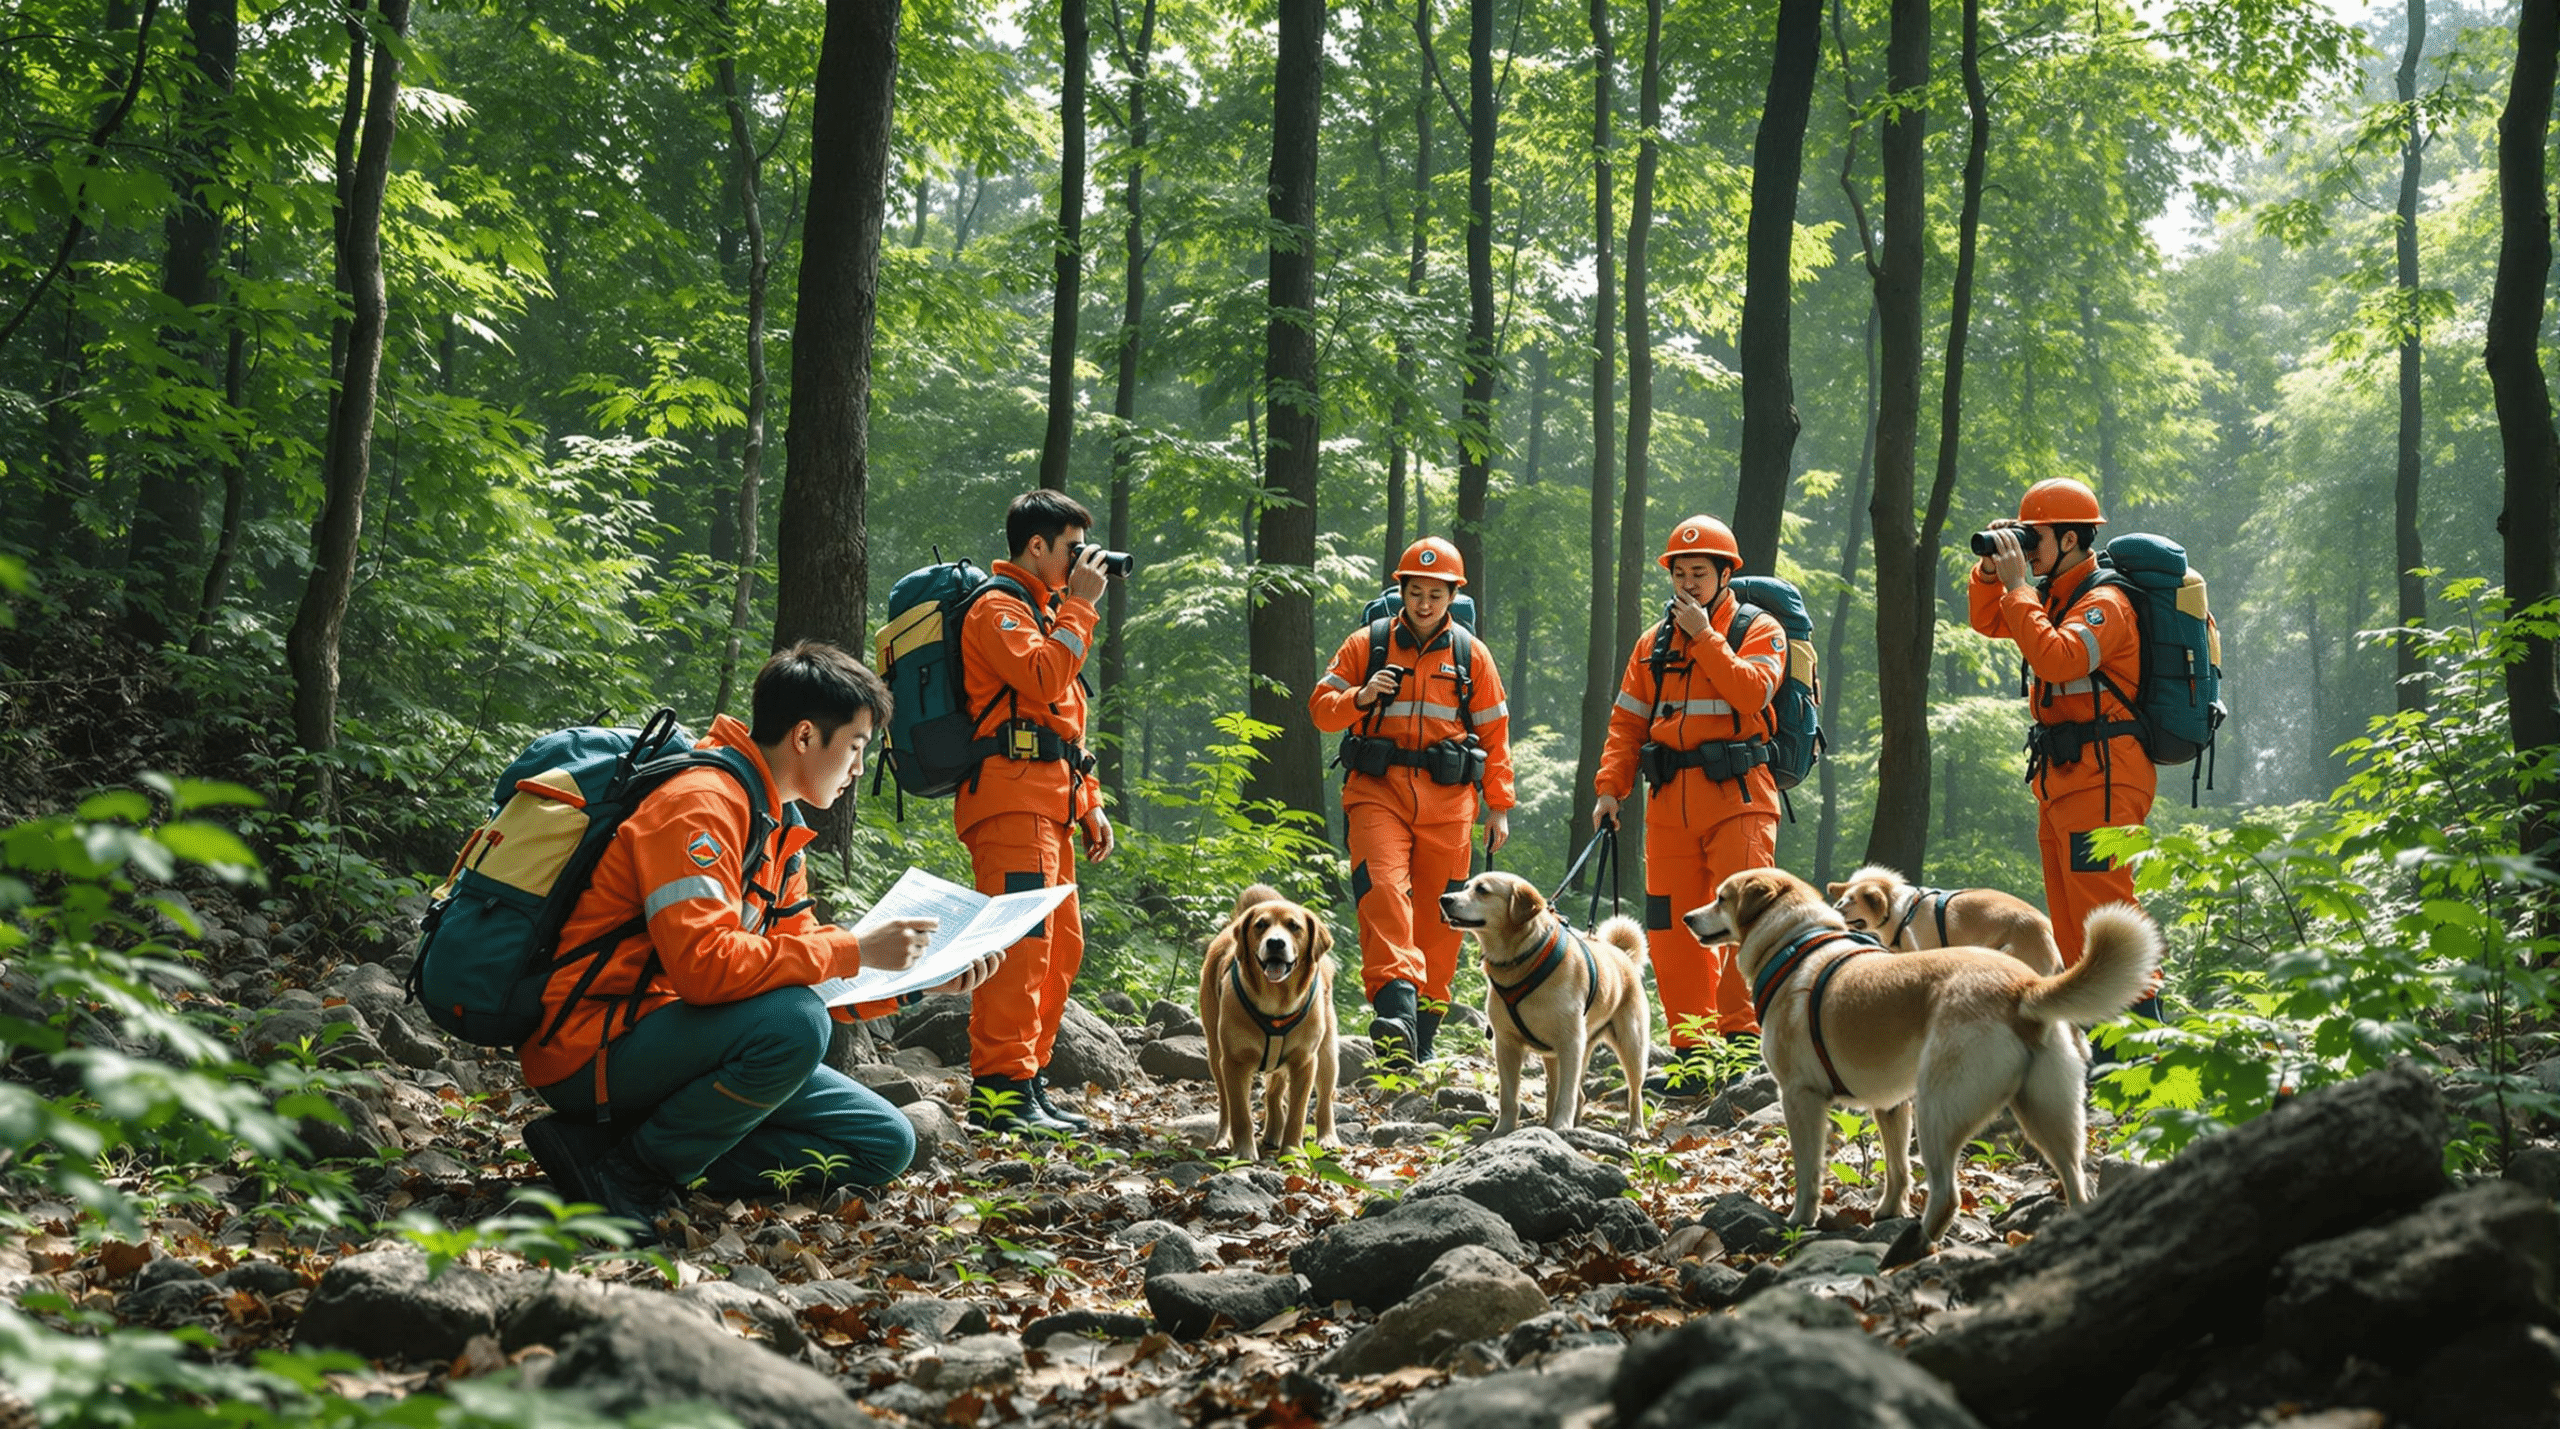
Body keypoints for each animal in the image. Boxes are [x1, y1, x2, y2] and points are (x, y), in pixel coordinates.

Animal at [1192, 886, 1341, 1167]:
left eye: (1294, 926)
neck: (1276, 1001)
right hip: (1215, 1054)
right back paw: (1226, 1139)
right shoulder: (1234, 1061)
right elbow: (1240, 1112)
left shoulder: (1305, 1062)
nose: (1275, 943)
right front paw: (1243, 1152)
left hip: (1327, 1053)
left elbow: (1297, 1114)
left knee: (1323, 1099)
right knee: (1228, 1104)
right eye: (1260, 925)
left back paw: (1326, 1137)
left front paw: (1292, 1153)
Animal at [1433, 875, 1648, 1142]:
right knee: (1569, 1091)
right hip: (1553, 1055)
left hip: (1631, 1046)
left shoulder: (1571, 1043)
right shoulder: (1505, 1044)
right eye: (1465, 887)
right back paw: (1554, 1122)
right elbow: (1508, 1097)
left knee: (1634, 1091)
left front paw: (1562, 1126)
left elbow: (1566, 1094)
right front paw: (1502, 1130)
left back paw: (1636, 1129)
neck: (1523, 960)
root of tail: (1623, 955)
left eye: (1482, 890)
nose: (1444, 899)